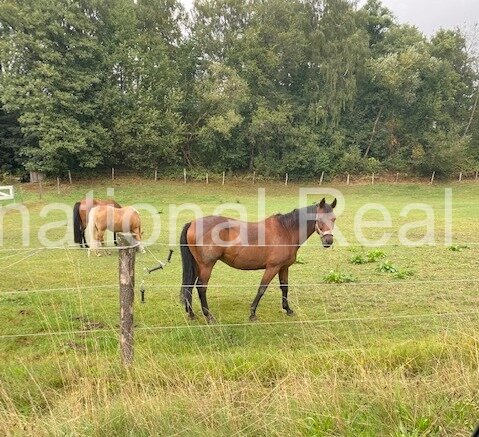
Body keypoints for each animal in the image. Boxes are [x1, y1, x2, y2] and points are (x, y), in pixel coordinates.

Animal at [180, 197, 337, 322]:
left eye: (334, 219)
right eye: (319, 219)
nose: (328, 241)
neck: (286, 230)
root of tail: (192, 223)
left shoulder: (283, 267)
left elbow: (284, 287)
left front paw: (288, 310)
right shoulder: (272, 267)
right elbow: (262, 288)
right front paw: (252, 313)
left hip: (197, 265)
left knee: (190, 286)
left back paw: (192, 314)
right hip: (206, 266)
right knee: (201, 287)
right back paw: (208, 316)